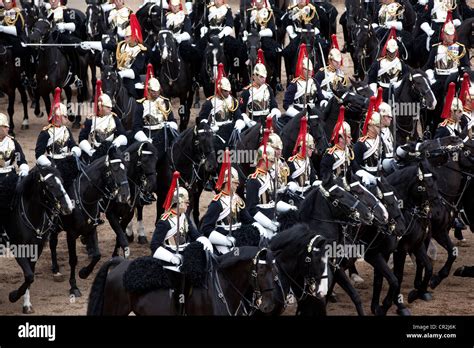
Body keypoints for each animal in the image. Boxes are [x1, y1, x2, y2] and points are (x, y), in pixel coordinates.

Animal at [6, 165, 74, 312]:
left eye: (62, 181)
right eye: (50, 185)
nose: (68, 207)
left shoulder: (36, 249)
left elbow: (30, 276)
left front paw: (26, 304)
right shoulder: (18, 248)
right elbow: (29, 275)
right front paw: (13, 296)